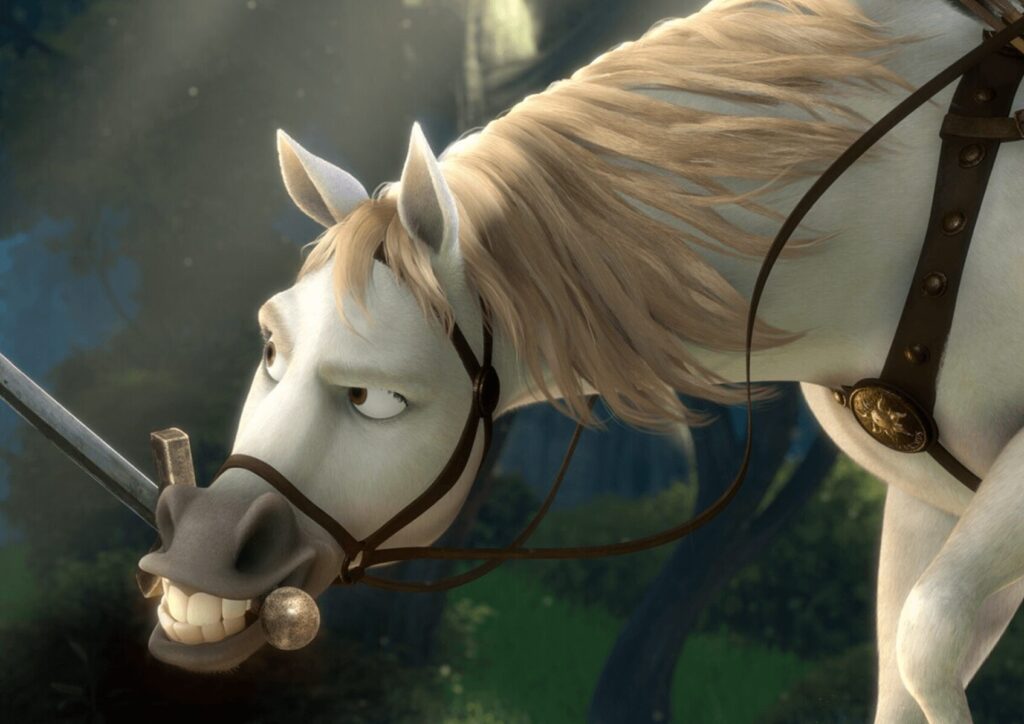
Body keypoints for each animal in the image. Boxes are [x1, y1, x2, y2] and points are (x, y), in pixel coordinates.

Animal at [137, 1, 1024, 720]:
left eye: (379, 399)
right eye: (270, 347)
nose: (196, 554)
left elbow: (927, 640)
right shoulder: (928, 500)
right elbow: (907, 669)